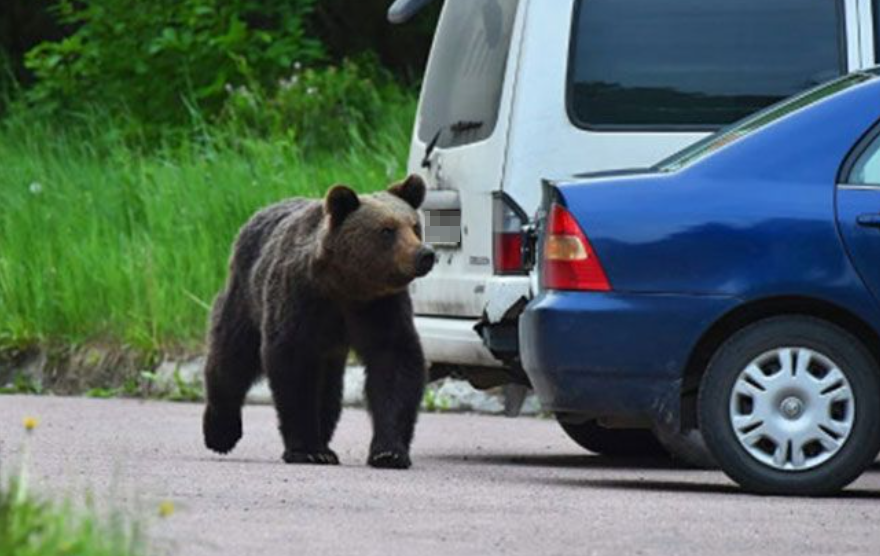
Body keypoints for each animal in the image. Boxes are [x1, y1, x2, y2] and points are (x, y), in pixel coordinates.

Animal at [200, 175, 434, 470]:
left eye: (415, 226)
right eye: (387, 230)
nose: (425, 254)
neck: (345, 286)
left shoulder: (379, 307)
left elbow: (395, 364)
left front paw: (389, 452)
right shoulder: (301, 299)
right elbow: (293, 367)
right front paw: (307, 450)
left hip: (329, 348)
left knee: (329, 389)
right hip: (246, 297)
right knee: (232, 357)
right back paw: (220, 433)